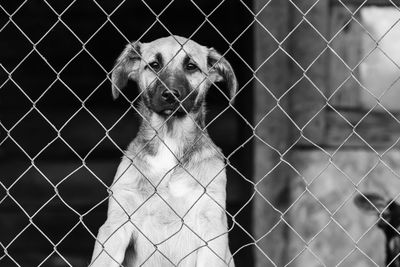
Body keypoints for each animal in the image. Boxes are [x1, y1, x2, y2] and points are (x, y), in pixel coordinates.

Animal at [89, 36, 236, 267]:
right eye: (154, 65)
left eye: (191, 66)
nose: (170, 95)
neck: (170, 140)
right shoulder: (116, 224)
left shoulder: (211, 225)